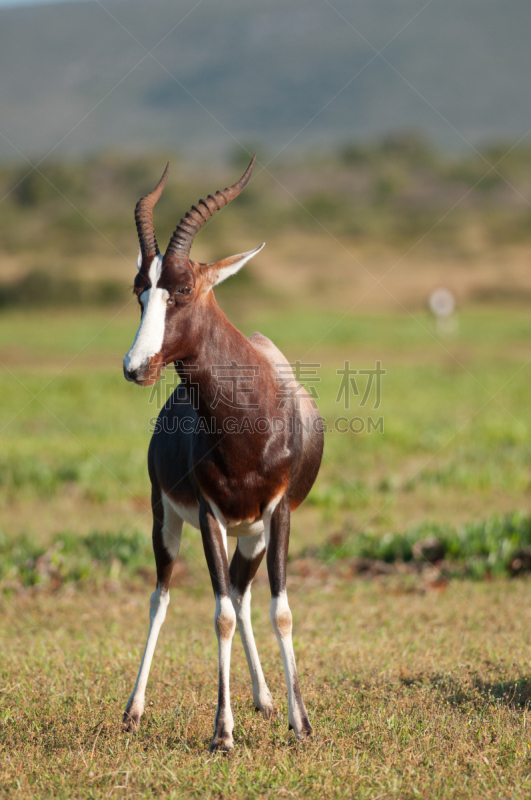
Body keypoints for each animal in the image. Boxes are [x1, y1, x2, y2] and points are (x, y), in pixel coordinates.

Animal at [122, 158, 324, 752]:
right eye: (140, 290)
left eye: (184, 288)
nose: (136, 366)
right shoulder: (209, 515)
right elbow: (218, 618)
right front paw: (222, 733)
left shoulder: (278, 513)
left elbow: (279, 611)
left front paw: (300, 723)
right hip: (165, 519)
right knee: (162, 597)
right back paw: (133, 710)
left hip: (251, 532)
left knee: (241, 592)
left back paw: (265, 699)